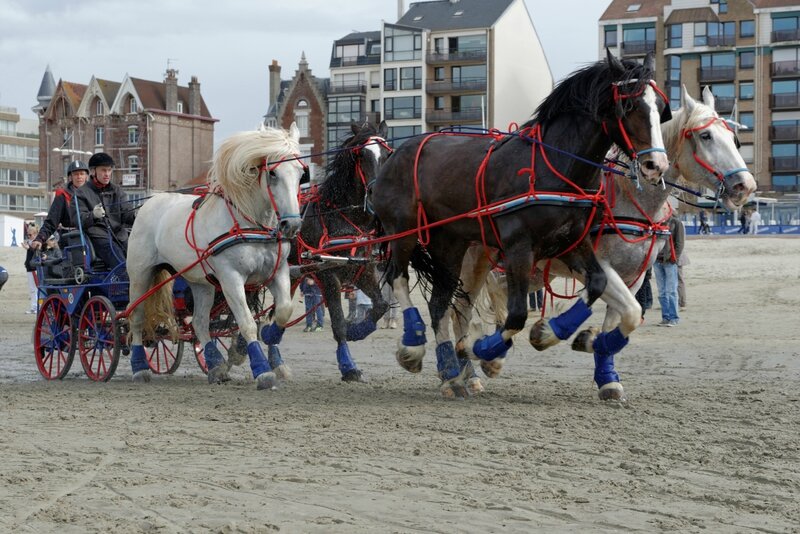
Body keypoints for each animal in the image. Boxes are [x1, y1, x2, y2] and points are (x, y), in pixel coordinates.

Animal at [126, 127, 304, 392]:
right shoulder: (231, 278)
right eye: (273, 173)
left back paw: (216, 365)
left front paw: (271, 334)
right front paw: (262, 370)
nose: (291, 225)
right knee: (136, 317)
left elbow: (283, 311)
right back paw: (139, 368)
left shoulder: (279, 271)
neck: (249, 223)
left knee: (200, 323)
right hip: (140, 276)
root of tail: (150, 203)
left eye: (301, 173)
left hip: (200, 283)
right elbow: (247, 322)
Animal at [268, 122, 392, 382]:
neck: (342, 216)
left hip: (291, 275)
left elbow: (380, 305)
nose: (377, 194)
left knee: (275, 312)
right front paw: (348, 366)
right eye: (361, 154)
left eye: (387, 155)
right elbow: (338, 323)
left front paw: (358, 330)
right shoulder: (328, 274)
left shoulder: (362, 269)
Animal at [372, 52, 672, 400]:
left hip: (450, 245)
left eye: (660, 108)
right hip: (403, 232)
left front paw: (550, 332)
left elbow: (597, 285)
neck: (552, 168)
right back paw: (414, 346)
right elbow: (515, 316)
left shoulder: (571, 243)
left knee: (439, 306)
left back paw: (450, 373)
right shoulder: (519, 248)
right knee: (399, 278)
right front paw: (481, 348)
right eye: (630, 105)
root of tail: (396, 153)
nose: (656, 165)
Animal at [456, 86, 756, 400]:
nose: (745, 186)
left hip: (524, 268)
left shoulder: (635, 275)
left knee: (496, 298)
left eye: (733, 138)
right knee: (459, 313)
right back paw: (465, 374)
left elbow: (626, 318)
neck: (630, 202)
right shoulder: (595, 264)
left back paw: (488, 359)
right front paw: (551, 333)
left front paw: (602, 364)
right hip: (473, 261)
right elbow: (629, 310)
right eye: (705, 136)